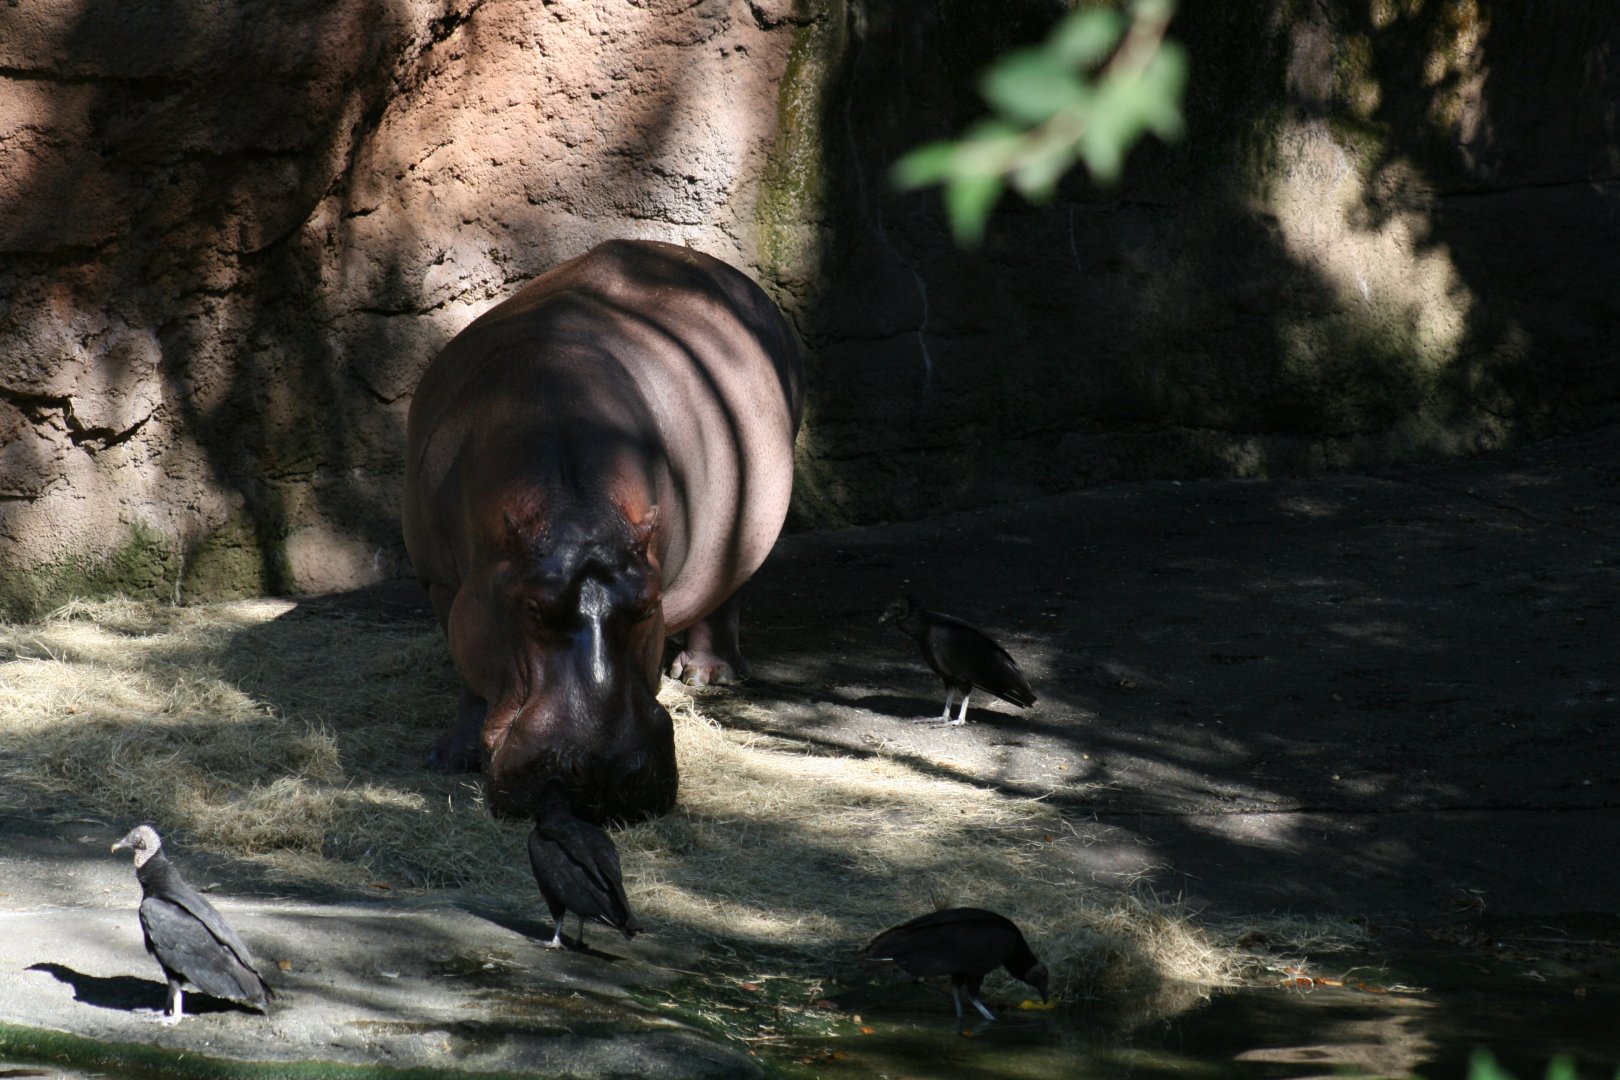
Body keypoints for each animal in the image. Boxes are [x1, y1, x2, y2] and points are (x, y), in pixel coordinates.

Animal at [402, 239, 803, 823]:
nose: (603, 776)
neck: (573, 514)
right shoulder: (442, 583)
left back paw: (706, 674)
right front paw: (449, 759)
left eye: (650, 605)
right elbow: (470, 674)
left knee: (732, 582)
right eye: (532, 607)